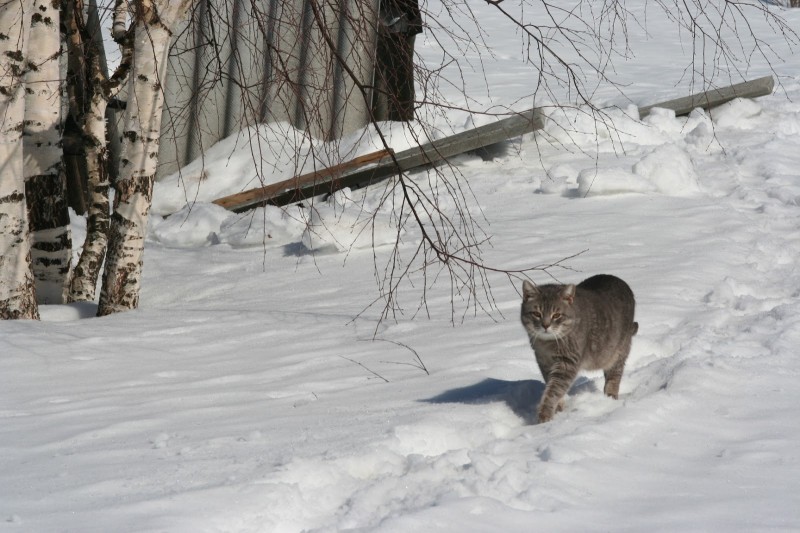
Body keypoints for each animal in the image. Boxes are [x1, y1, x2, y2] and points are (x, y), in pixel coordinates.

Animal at [520, 272, 640, 422]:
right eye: (537, 314)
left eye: (556, 315)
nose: (545, 325)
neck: (548, 344)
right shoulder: (543, 362)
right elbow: (551, 385)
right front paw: (558, 407)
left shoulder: (567, 363)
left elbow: (553, 390)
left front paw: (545, 414)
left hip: (618, 352)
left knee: (614, 376)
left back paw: (610, 398)